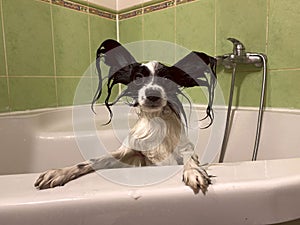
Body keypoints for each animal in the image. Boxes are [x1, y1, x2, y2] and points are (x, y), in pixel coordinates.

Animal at [34, 39, 218, 194]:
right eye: (137, 78)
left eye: (166, 79)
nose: (152, 95)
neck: (154, 121)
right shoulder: (130, 152)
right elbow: (91, 161)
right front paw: (59, 172)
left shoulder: (184, 149)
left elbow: (189, 157)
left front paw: (193, 171)